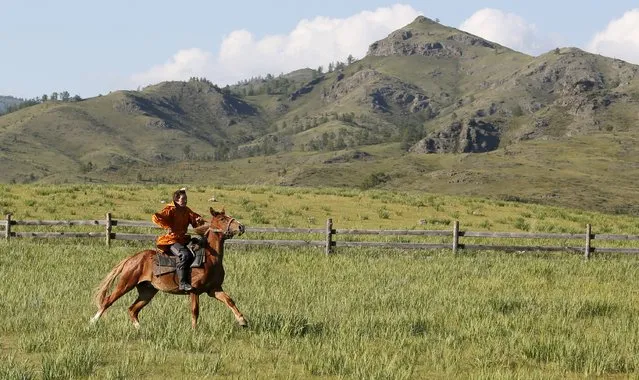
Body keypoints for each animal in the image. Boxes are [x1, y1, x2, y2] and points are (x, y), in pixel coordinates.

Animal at [90, 206, 248, 328]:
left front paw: (242, 321)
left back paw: (140, 329)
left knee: (132, 310)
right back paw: (92, 322)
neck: (209, 258)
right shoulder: (194, 291)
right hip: (126, 284)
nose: (241, 227)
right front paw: (194, 330)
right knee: (108, 301)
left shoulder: (214, 289)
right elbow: (195, 311)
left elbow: (229, 300)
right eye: (223, 219)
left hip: (147, 291)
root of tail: (134, 258)